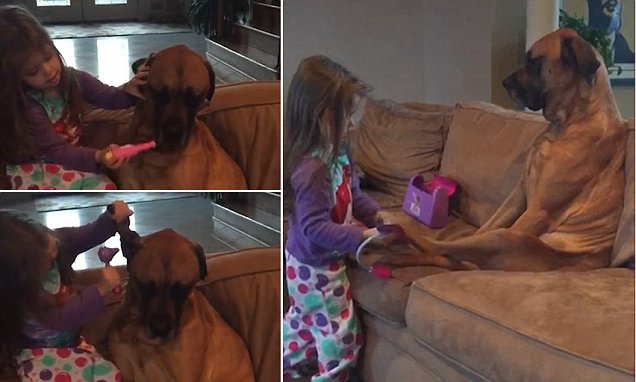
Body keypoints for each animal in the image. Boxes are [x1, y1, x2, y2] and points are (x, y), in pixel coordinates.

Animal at [382, 27, 628, 272]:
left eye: (533, 62)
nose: (505, 82)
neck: (567, 123)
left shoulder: (538, 212)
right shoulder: (517, 196)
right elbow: (486, 225)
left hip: (506, 238)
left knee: (437, 246)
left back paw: (393, 227)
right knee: (451, 250)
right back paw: (394, 254)